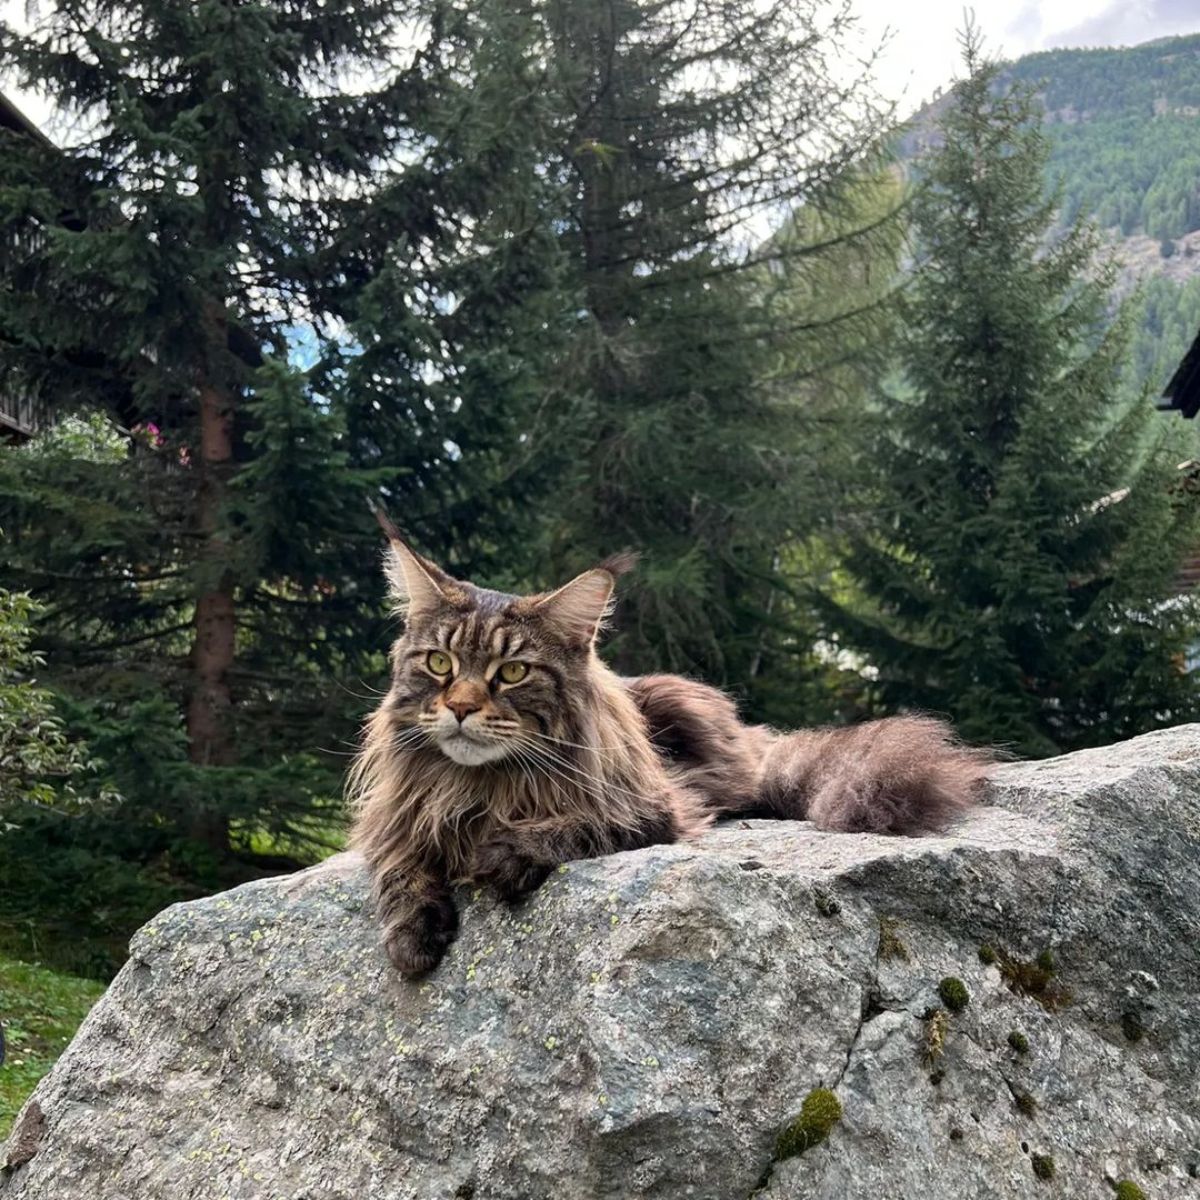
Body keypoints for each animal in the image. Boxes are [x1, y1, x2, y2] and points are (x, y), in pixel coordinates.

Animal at [350, 523, 993, 974]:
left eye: (512, 672)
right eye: (439, 664)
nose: (459, 708)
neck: (477, 786)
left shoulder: (655, 808)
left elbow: (573, 826)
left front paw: (504, 853)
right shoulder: (394, 818)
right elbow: (401, 868)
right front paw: (411, 936)